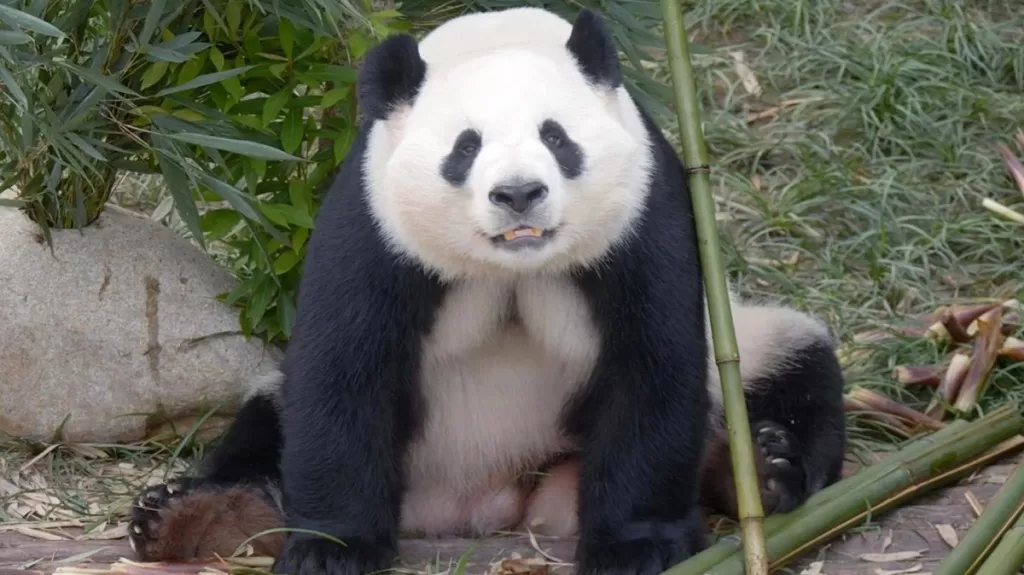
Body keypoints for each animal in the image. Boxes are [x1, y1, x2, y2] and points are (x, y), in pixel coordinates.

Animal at [126, 7, 846, 575]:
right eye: (464, 147)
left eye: (556, 137)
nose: (519, 193)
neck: (513, 265)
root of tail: (479, 500)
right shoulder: (375, 226)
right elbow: (343, 372)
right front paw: (331, 549)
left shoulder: (646, 214)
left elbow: (651, 365)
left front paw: (636, 547)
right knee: (267, 418)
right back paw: (194, 517)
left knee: (793, 361)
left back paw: (765, 468)